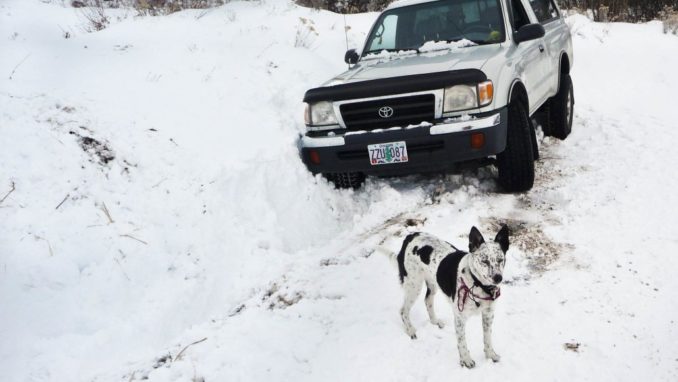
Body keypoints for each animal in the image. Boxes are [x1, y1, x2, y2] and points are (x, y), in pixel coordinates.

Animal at [398, 225, 510, 368]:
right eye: (484, 261)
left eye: (500, 260)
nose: (498, 278)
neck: (478, 283)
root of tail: (410, 235)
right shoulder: (460, 317)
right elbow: (462, 341)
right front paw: (466, 360)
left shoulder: (488, 314)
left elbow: (487, 338)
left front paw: (490, 355)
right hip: (414, 285)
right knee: (403, 310)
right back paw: (410, 330)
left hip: (433, 282)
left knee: (427, 301)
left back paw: (435, 321)